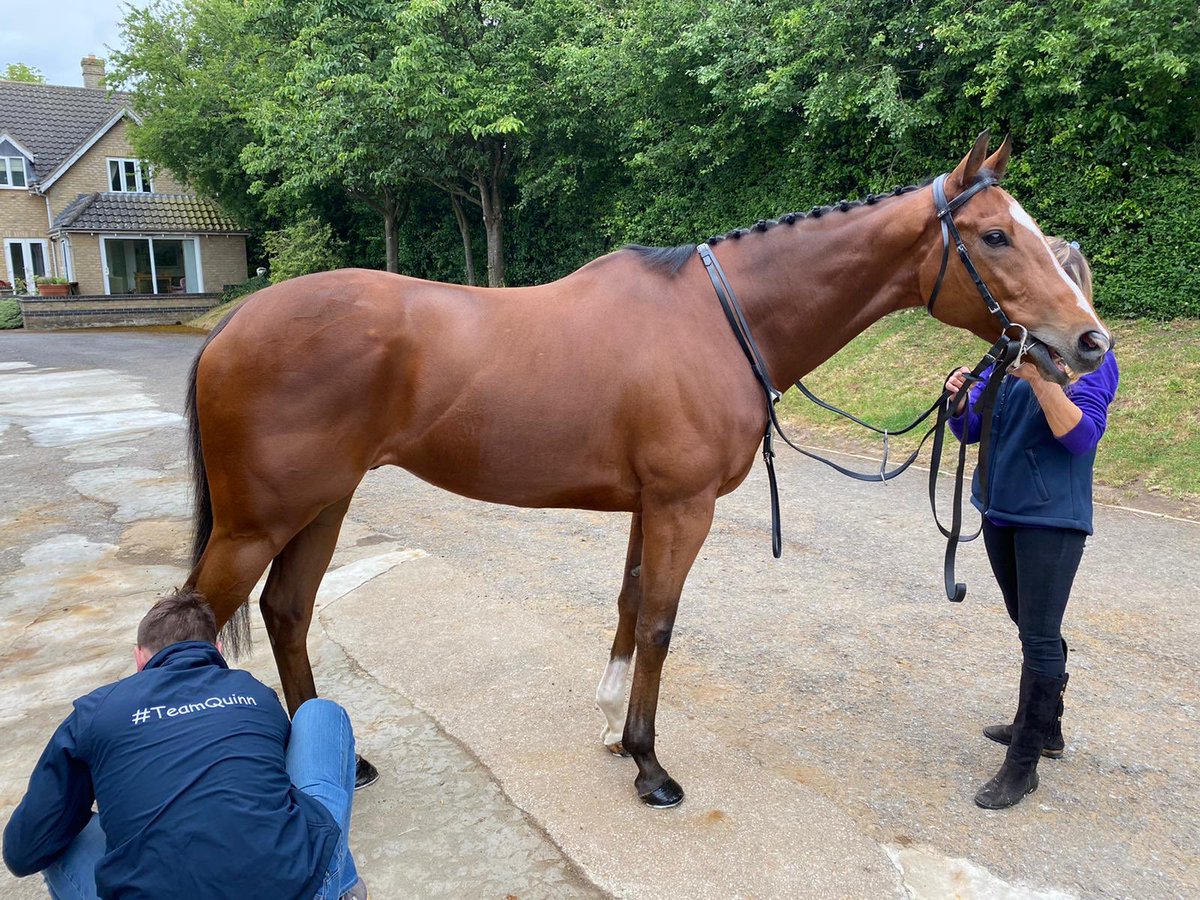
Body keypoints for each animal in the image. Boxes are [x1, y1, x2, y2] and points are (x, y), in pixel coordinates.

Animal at [183, 133, 1110, 807]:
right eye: (995, 235)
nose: (1089, 342)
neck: (719, 321)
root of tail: (230, 328)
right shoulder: (681, 505)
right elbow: (662, 622)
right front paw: (649, 765)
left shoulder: (646, 505)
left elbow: (630, 602)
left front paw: (608, 727)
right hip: (258, 523)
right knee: (197, 616)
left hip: (322, 506)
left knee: (287, 612)